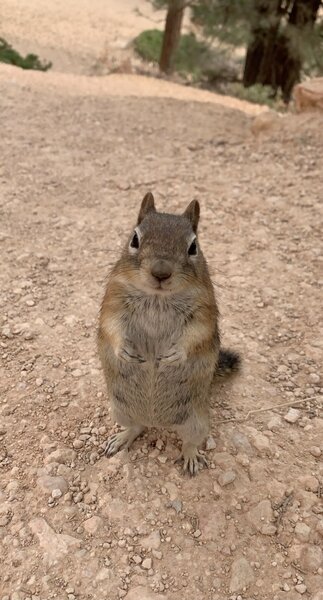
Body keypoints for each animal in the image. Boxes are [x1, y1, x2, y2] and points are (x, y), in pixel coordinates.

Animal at [98, 195, 240, 476]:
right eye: (134, 239)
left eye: (193, 246)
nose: (161, 272)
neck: (158, 297)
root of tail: (157, 421)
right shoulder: (113, 300)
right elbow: (112, 327)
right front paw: (124, 351)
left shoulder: (203, 311)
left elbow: (196, 335)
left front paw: (174, 355)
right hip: (120, 410)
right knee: (136, 427)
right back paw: (121, 438)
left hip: (197, 422)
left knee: (189, 441)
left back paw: (191, 456)